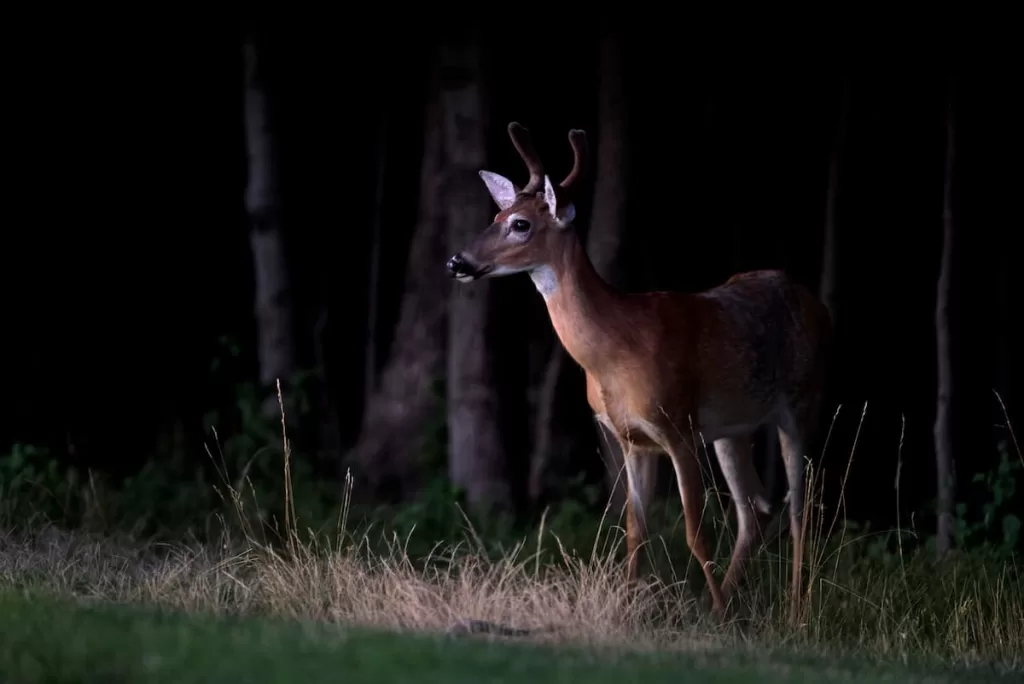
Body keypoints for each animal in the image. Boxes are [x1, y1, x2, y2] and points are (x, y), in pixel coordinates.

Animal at [448, 120, 831, 622]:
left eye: (521, 224)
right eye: (496, 216)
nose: (457, 261)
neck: (614, 354)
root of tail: (816, 303)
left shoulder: (678, 425)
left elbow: (693, 531)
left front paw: (709, 610)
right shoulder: (630, 438)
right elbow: (635, 531)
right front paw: (632, 607)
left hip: (801, 400)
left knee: (800, 507)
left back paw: (794, 610)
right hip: (733, 427)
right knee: (757, 510)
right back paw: (727, 608)